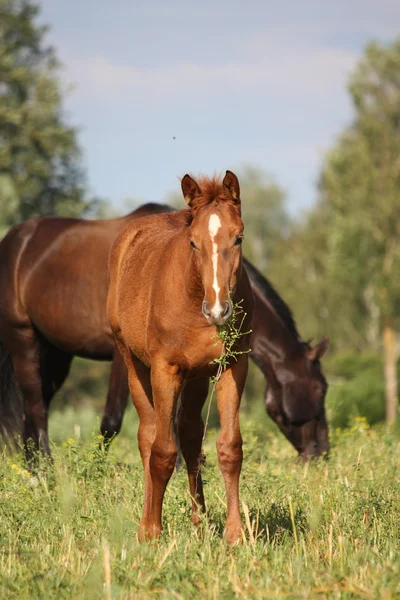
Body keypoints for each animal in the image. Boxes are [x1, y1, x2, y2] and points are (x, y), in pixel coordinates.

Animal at [0, 200, 328, 460]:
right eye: (320, 389)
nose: (321, 452)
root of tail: (14, 241)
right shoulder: (127, 357)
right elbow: (113, 421)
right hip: (24, 339)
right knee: (36, 407)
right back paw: (43, 473)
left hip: (55, 354)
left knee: (34, 409)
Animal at [107, 171, 253, 540]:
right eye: (192, 243)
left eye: (239, 238)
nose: (218, 310)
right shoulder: (165, 369)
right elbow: (161, 451)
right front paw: (152, 532)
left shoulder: (233, 366)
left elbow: (229, 448)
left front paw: (235, 535)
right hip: (133, 364)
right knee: (148, 437)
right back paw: (146, 522)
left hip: (197, 377)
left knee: (189, 435)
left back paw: (200, 521)